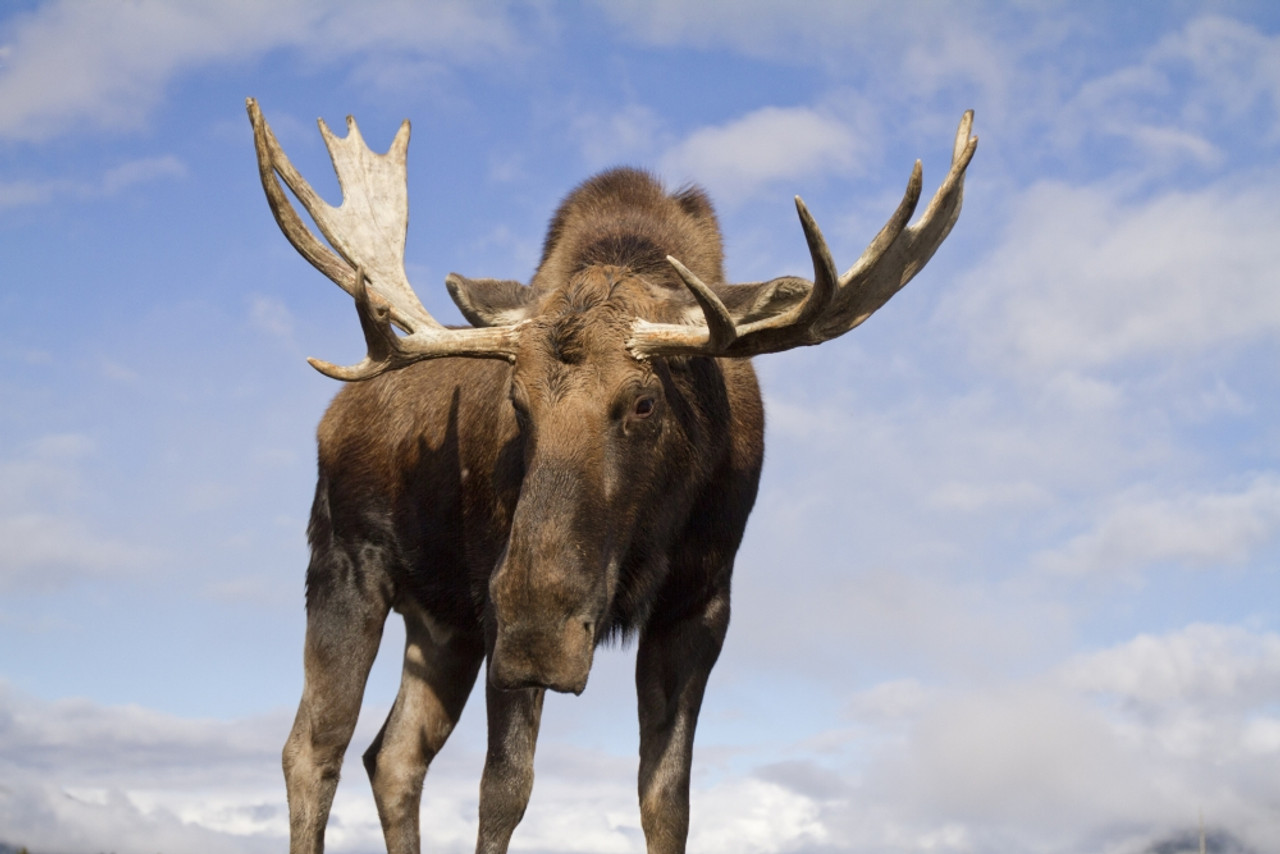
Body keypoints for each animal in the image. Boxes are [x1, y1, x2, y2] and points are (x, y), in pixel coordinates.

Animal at [244, 96, 972, 854]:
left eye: (645, 401)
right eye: (516, 399)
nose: (539, 628)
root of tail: (334, 415)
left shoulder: (699, 602)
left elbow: (666, 801)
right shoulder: (496, 604)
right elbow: (503, 792)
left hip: (444, 622)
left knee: (392, 755)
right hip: (348, 564)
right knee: (313, 748)